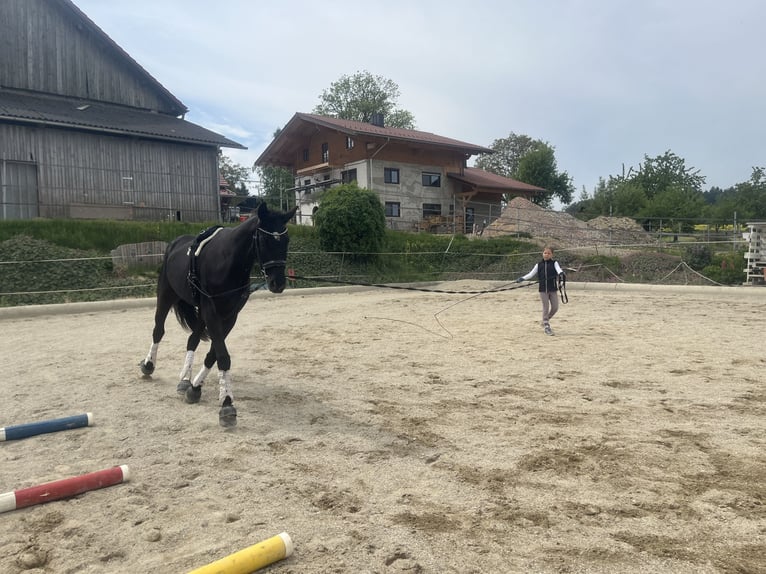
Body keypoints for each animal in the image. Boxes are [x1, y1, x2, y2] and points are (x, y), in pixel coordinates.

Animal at [139, 202, 298, 427]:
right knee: (158, 330)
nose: (278, 284)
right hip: (166, 295)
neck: (228, 262)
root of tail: (175, 243)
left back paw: (184, 379)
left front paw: (195, 388)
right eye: (265, 239)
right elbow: (222, 355)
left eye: (286, 240)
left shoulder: (230, 315)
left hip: (201, 313)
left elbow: (214, 353)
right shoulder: (212, 312)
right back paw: (148, 365)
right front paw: (227, 404)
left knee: (192, 339)